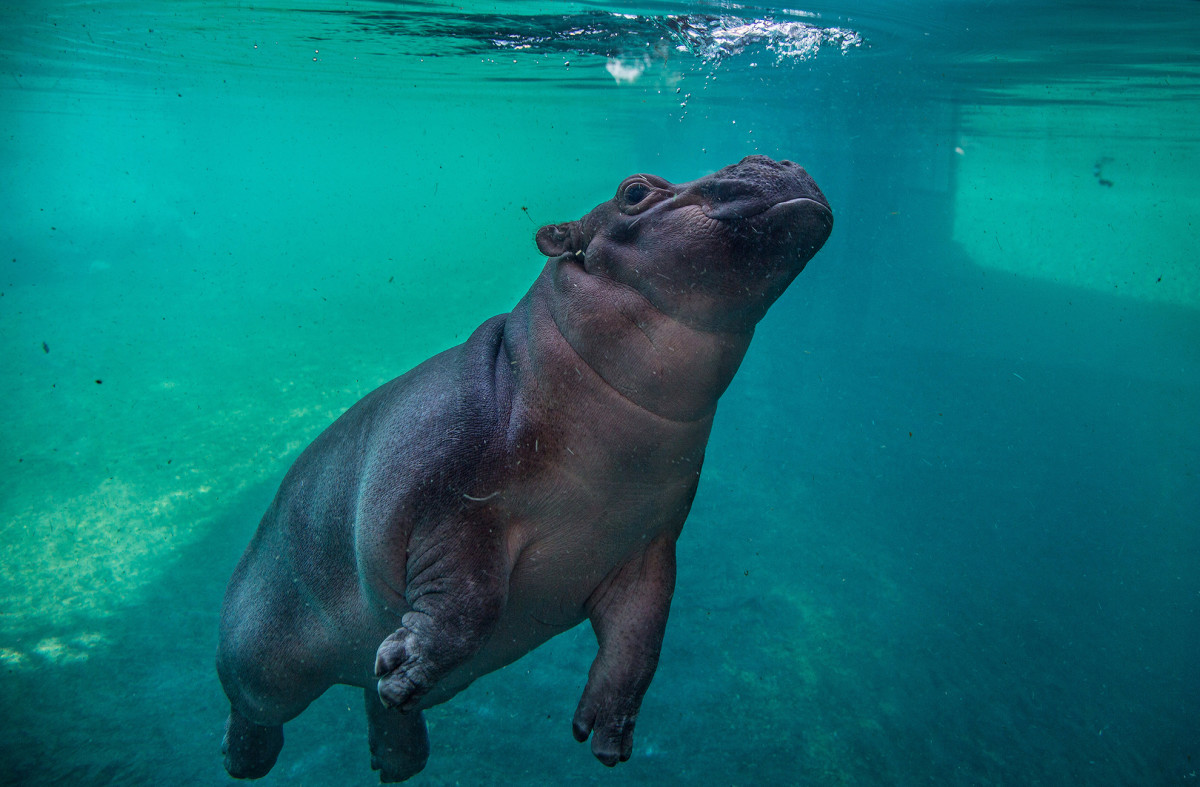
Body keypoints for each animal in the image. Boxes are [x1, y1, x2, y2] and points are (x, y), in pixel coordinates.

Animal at [218, 154, 835, 782]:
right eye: (634, 192)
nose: (774, 160)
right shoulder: (453, 511)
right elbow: (471, 604)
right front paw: (408, 670)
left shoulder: (648, 545)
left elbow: (640, 644)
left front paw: (606, 738)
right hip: (264, 661)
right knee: (253, 707)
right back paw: (243, 760)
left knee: (372, 697)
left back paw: (398, 760)